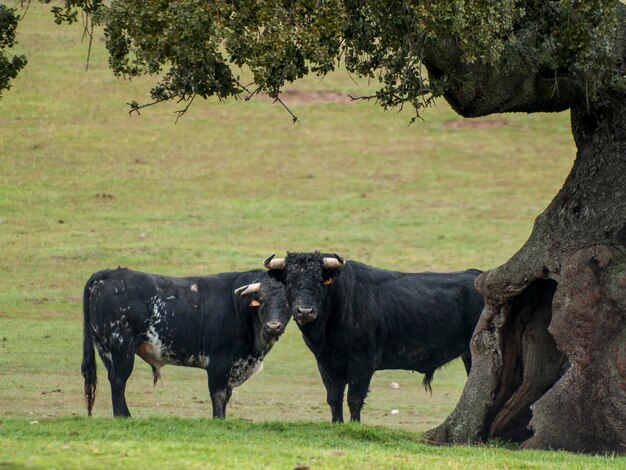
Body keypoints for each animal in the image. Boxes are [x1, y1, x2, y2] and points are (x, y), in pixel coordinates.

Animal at [79, 268, 288, 418]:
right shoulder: (219, 362)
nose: (273, 326)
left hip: (106, 350)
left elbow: (226, 396)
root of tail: (108, 274)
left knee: (114, 379)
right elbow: (219, 395)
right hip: (122, 348)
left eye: (287, 302)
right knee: (118, 380)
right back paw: (121, 417)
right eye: (261, 300)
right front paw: (219, 420)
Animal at [264, 252, 482, 424]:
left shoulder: (363, 362)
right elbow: (334, 397)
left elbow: (354, 398)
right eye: (289, 281)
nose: (305, 311)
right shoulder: (325, 363)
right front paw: (337, 424)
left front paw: (355, 425)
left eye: (320, 281)